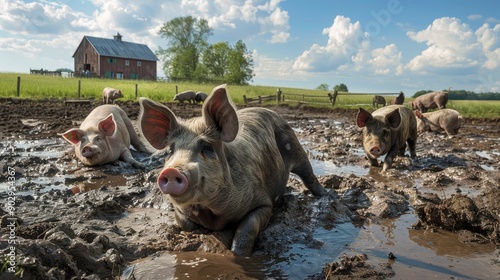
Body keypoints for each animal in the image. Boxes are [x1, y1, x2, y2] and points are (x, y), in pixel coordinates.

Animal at [137, 84, 326, 255]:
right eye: (170, 150)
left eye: (206, 147)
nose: (172, 171)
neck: (210, 213)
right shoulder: (179, 208)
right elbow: (185, 223)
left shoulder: (263, 202)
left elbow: (247, 227)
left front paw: (239, 254)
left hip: (293, 144)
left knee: (308, 174)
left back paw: (325, 194)